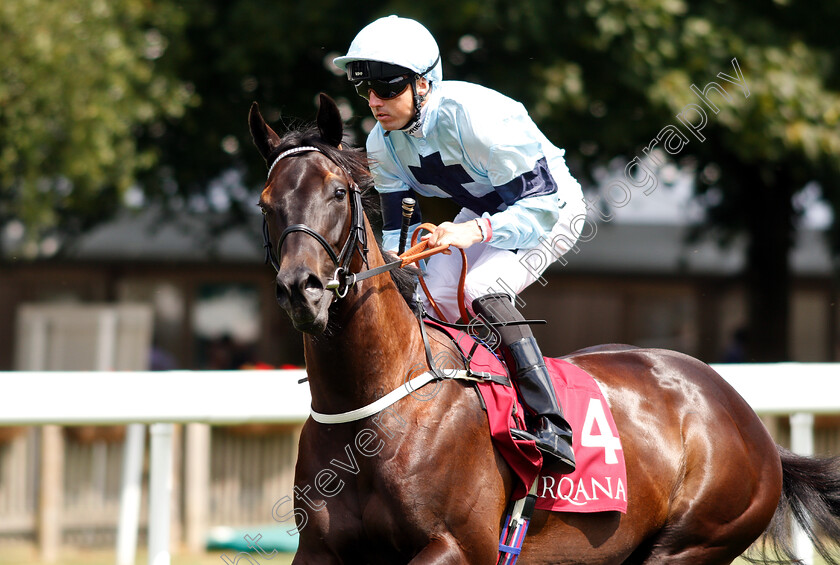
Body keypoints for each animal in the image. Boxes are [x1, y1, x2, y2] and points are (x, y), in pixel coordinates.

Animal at [253, 94, 840, 560]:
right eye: (265, 202)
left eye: (337, 192)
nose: (301, 288)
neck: (376, 404)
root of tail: (748, 419)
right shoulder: (319, 549)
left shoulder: (457, 545)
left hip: (693, 541)